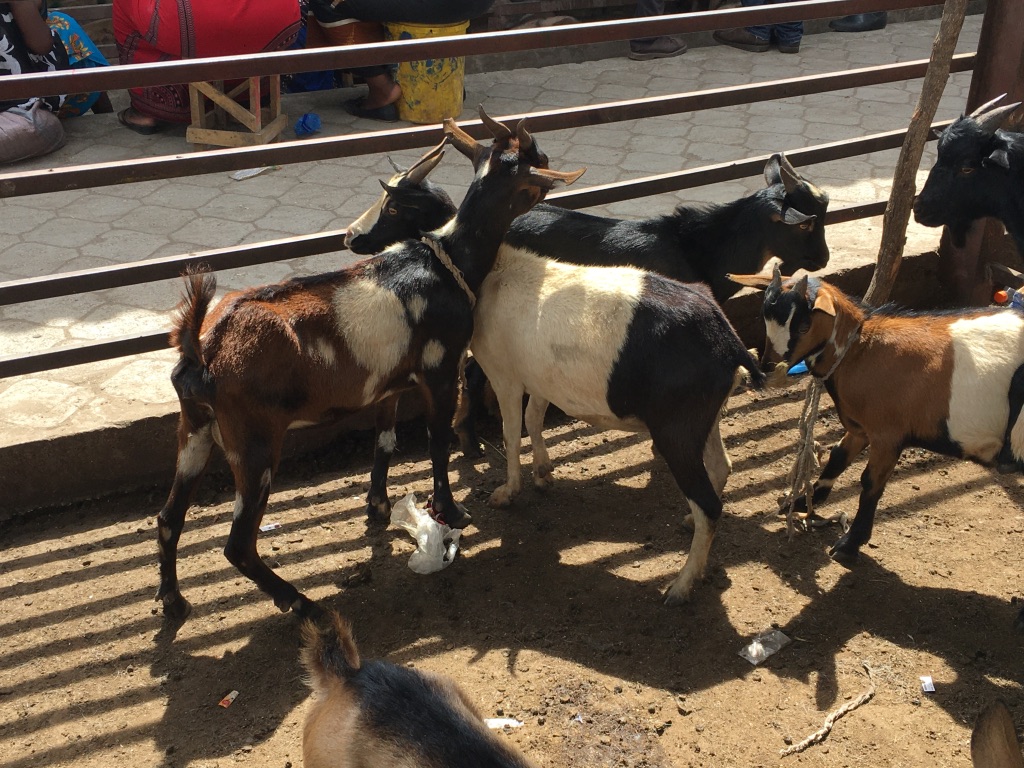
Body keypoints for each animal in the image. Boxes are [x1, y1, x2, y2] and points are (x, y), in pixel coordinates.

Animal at [155, 110, 585, 622]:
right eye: (526, 169)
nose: (554, 172)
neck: (448, 260)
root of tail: (204, 351)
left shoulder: (389, 384)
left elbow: (385, 441)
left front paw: (378, 507)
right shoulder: (441, 367)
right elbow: (436, 441)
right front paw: (451, 511)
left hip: (195, 428)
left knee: (168, 517)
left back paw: (174, 600)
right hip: (253, 442)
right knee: (237, 544)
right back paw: (299, 601)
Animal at [736, 267, 1024, 631]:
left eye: (802, 325)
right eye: (765, 316)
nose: (767, 368)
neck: (862, 349)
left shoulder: (888, 434)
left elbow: (870, 484)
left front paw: (849, 544)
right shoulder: (860, 428)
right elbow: (836, 459)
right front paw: (802, 501)